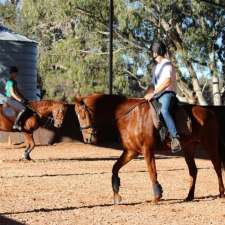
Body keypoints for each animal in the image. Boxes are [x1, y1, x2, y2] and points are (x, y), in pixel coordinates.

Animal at [74, 92, 225, 204]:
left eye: (82, 114)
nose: (87, 139)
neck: (129, 116)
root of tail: (210, 113)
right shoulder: (131, 151)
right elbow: (115, 168)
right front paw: (117, 196)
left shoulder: (147, 150)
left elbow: (152, 172)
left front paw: (157, 196)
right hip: (188, 148)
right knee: (193, 171)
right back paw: (189, 197)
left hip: (209, 144)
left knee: (217, 166)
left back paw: (221, 193)